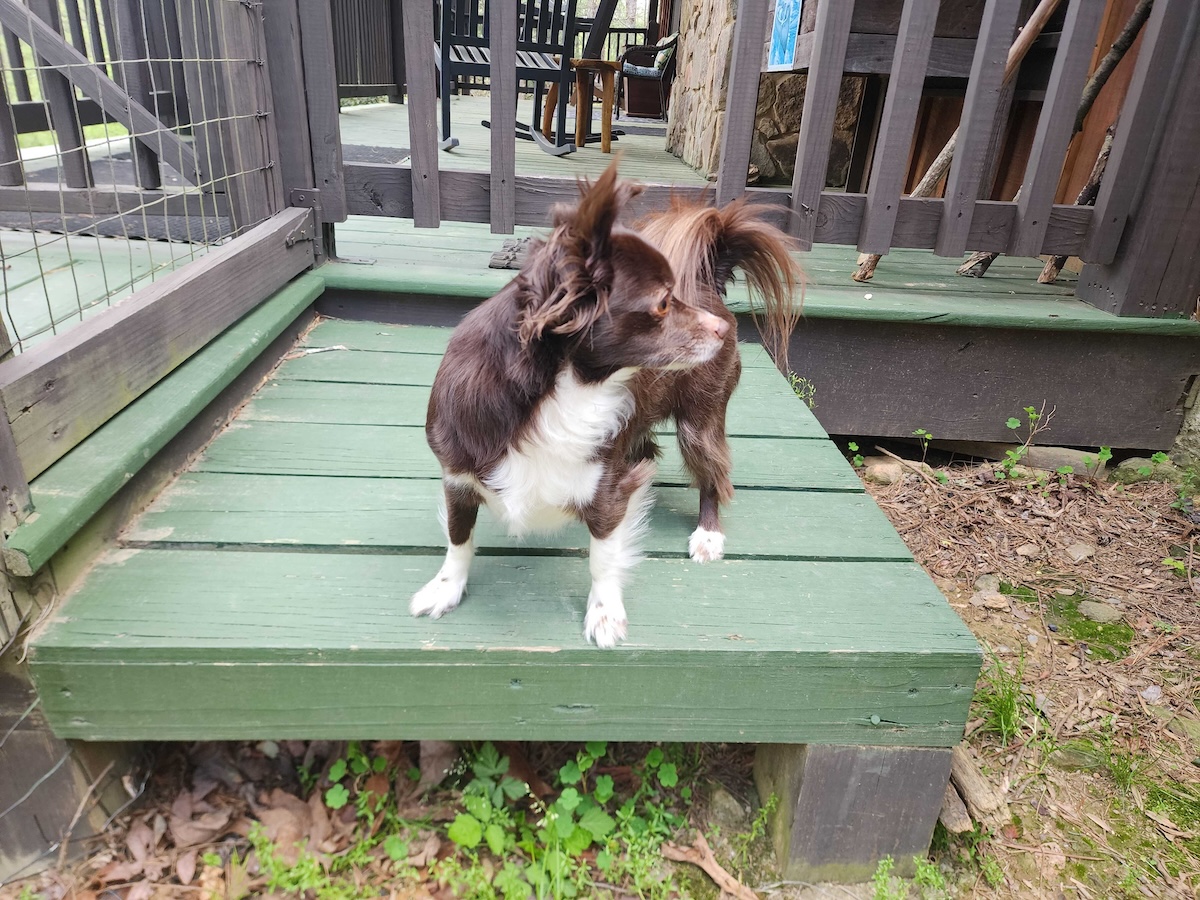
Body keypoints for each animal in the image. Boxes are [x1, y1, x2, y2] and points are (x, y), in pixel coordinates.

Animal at [415, 165, 806, 648]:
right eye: (663, 303)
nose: (719, 328)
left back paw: (708, 535)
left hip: (699, 424)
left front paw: (604, 614)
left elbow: (602, 556)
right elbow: (458, 538)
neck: (562, 394)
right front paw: (445, 589)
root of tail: (709, 282)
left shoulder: (609, 491)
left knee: (713, 475)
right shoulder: (457, 477)